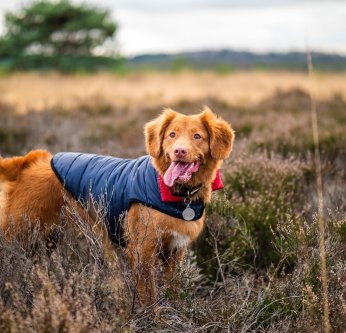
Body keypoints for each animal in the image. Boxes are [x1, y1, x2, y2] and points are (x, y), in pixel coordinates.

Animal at [0, 107, 235, 310]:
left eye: (197, 136)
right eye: (172, 134)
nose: (179, 150)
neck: (174, 193)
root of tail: (30, 161)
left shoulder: (175, 253)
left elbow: (174, 291)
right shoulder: (141, 252)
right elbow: (150, 298)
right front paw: (154, 320)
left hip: (46, 240)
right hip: (20, 233)